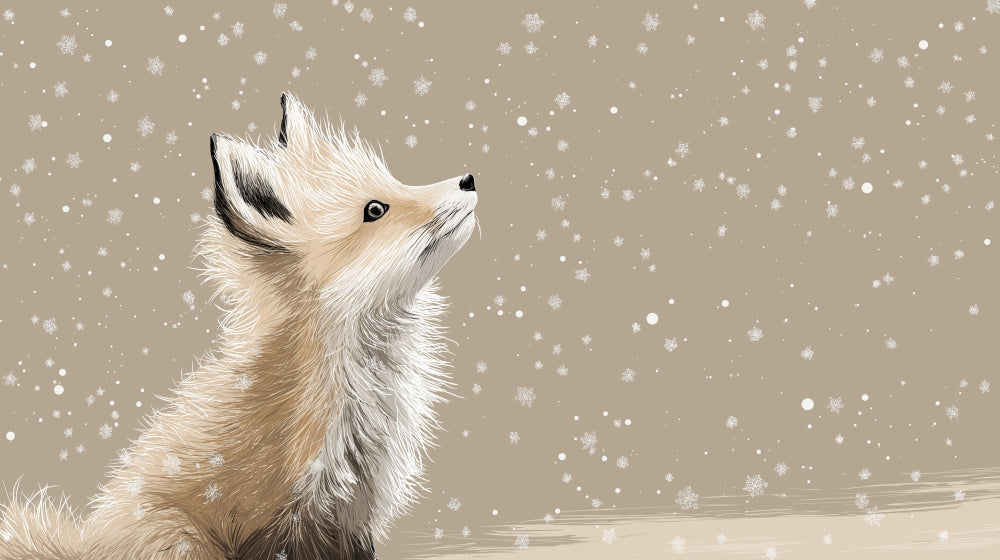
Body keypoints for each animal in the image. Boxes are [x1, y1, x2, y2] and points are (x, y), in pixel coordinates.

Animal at [0, 92, 479, 559]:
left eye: (395, 180)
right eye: (375, 209)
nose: (469, 179)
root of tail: (86, 543)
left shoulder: (353, 514)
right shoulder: (281, 518)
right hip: (179, 542)